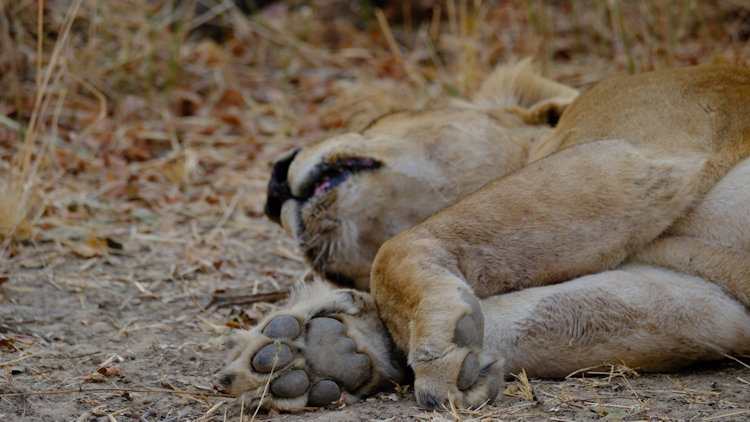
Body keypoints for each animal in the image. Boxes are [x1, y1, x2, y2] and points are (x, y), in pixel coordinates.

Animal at [217, 61, 750, 410]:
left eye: (375, 120)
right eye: (326, 267)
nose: (271, 186)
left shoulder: (639, 152)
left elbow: (392, 252)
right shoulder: (703, 293)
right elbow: (535, 315)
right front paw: (314, 354)